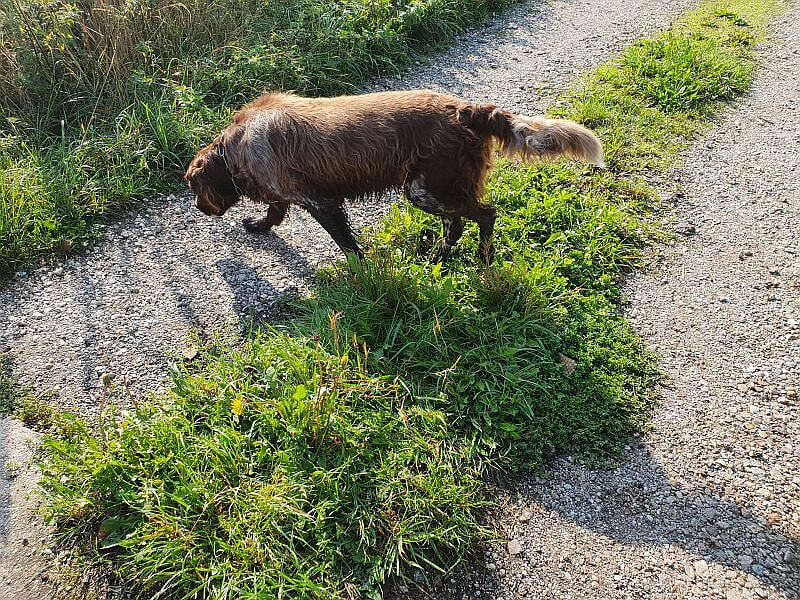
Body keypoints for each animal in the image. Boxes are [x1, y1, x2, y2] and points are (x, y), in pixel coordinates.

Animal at [184, 90, 604, 264]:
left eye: (192, 186)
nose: (198, 207)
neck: (234, 144)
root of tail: (467, 110)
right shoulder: (286, 193)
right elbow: (274, 213)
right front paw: (257, 225)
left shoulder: (322, 202)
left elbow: (347, 245)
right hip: (427, 189)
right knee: (456, 225)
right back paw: (437, 256)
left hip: (426, 189)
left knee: (485, 215)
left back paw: (484, 261)